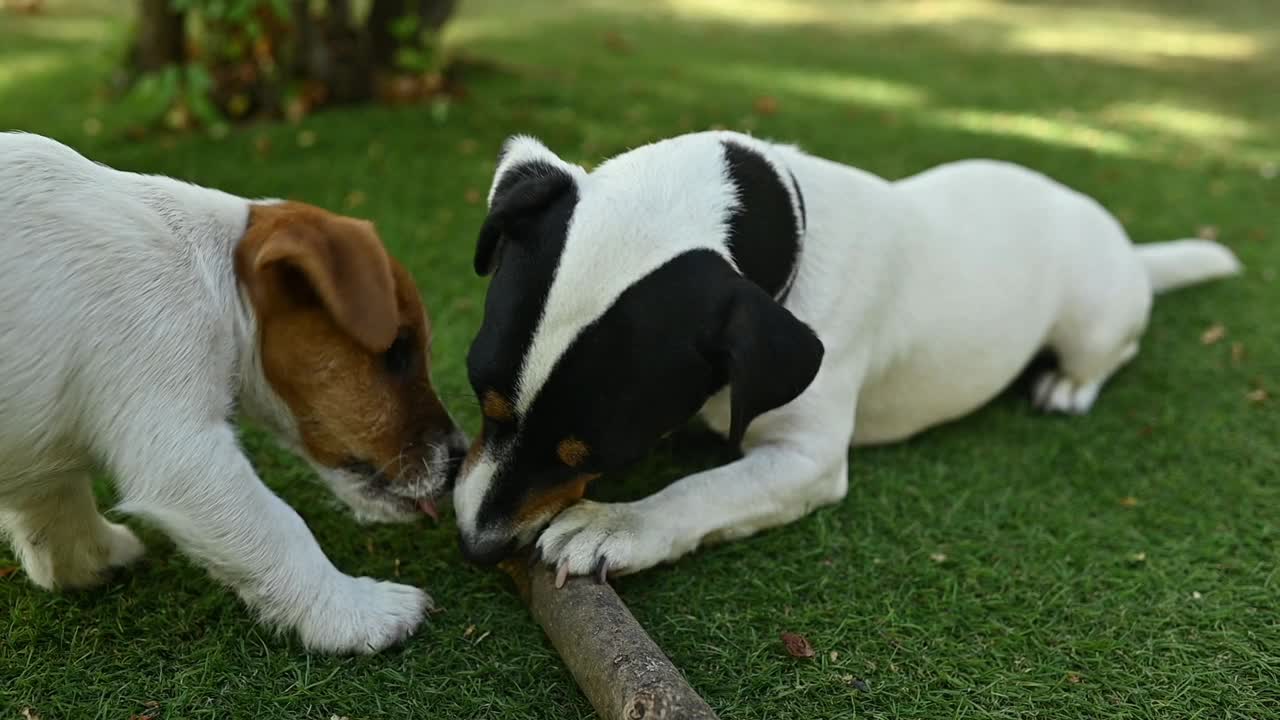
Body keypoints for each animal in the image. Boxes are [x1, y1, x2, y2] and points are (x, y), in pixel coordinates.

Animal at [0, 131, 465, 653]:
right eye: (398, 351)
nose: (460, 460)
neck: (213, 280)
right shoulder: (183, 449)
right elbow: (281, 529)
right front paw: (360, 612)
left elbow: (56, 507)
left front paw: (90, 560)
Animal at [453, 130, 1239, 576]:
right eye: (482, 401)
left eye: (599, 456)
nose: (474, 545)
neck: (797, 226)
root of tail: (1130, 248)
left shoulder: (807, 458)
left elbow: (703, 490)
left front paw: (618, 524)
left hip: (1093, 317)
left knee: (1107, 348)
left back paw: (1069, 383)